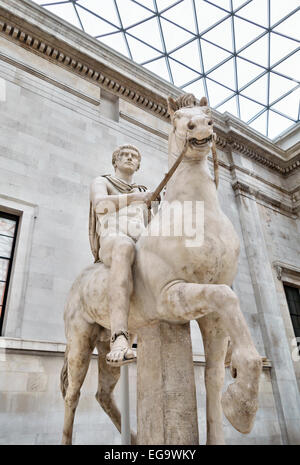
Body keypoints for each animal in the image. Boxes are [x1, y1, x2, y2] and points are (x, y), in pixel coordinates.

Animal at [59, 92, 262, 444]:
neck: (198, 214)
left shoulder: (211, 317)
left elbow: (213, 378)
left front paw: (237, 403)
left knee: (102, 393)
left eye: (207, 112)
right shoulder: (171, 298)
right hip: (79, 336)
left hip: (103, 339)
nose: (201, 126)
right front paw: (242, 407)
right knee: (73, 394)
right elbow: (227, 296)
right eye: (178, 117)